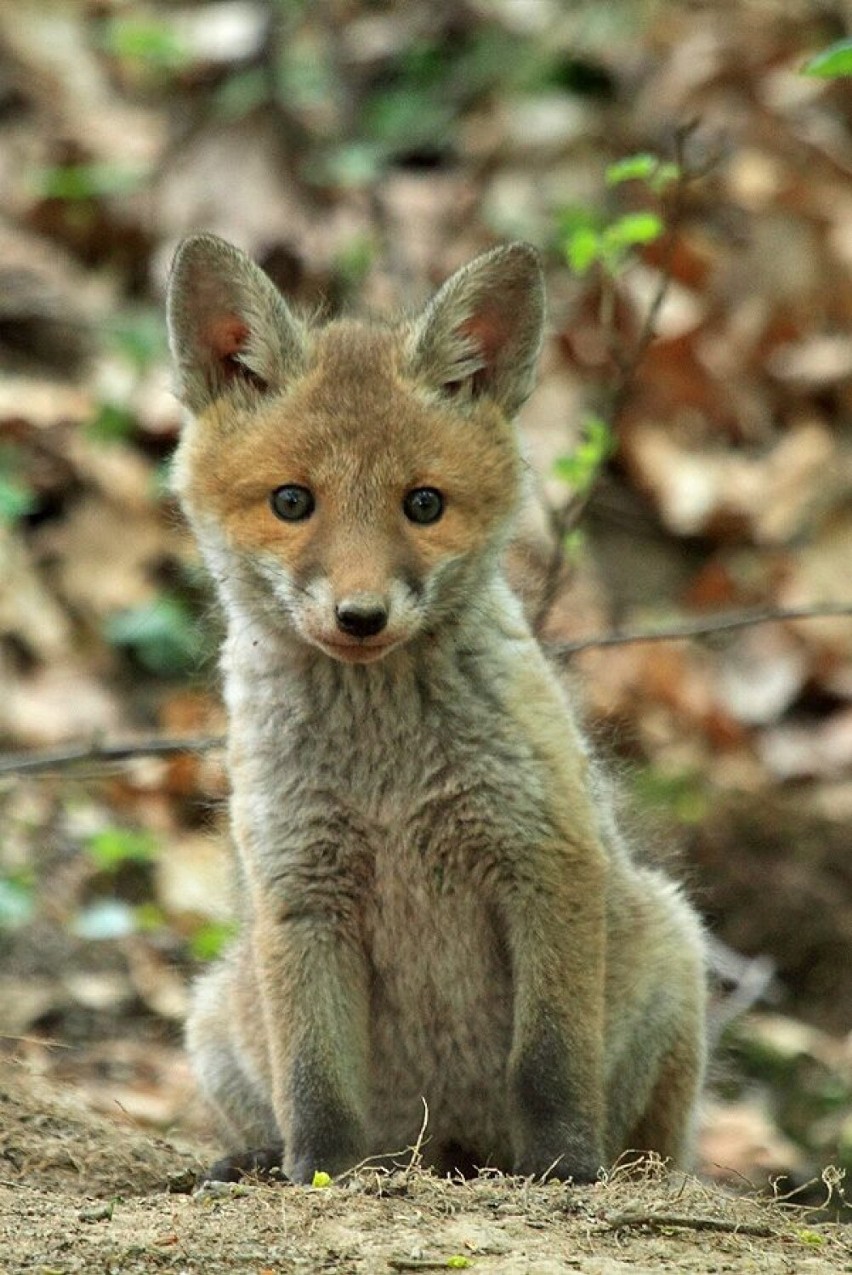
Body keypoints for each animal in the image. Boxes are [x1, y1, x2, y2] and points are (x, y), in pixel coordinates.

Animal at [165, 237, 704, 1183]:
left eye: (424, 504)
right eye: (292, 502)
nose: (361, 616)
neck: (389, 783)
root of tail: (450, 1150)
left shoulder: (545, 860)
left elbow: (548, 1065)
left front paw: (565, 1169)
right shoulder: (298, 890)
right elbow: (315, 1084)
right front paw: (318, 1175)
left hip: (677, 953)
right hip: (214, 1013)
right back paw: (258, 1156)